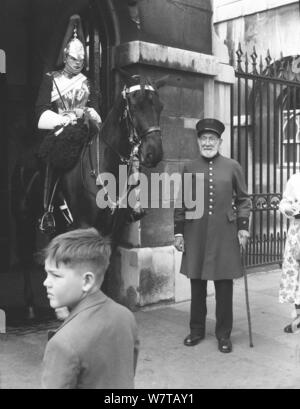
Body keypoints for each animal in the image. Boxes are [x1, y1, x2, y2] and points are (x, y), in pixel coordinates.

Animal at [11, 73, 165, 318]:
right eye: (134, 106)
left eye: (159, 106)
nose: (154, 153)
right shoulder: (83, 224)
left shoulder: (111, 230)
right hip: (23, 217)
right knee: (25, 254)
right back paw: (31, 306)